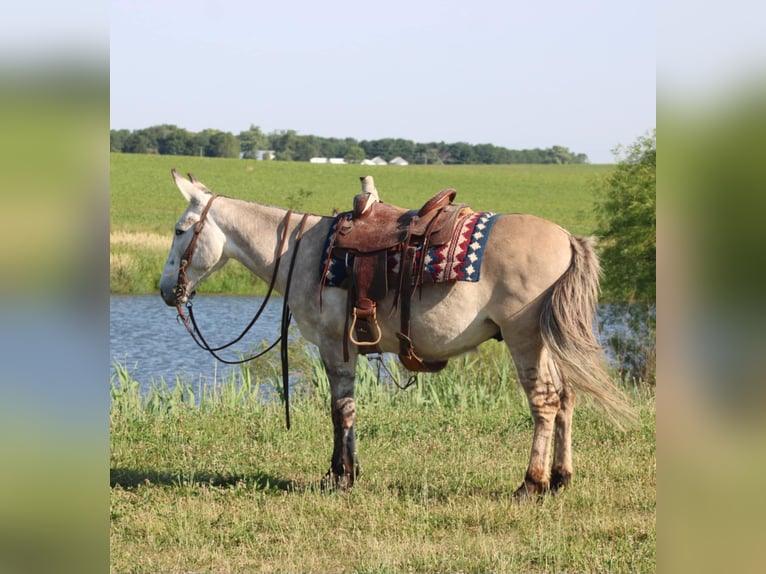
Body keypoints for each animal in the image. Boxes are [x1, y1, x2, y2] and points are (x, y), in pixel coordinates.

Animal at [159, 169, 633, 499]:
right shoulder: (348, 348)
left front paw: (340, 477)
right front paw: (348, 472)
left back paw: (530, 484)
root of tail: (567, 238)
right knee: (566, 399)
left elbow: (340, 410)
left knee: (544, 403)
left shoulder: (333, 346)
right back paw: (560, 479)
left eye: (181, 231)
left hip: (525, 339)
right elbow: (348, 410)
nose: (166, 291)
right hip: (546, 342)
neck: (302, 251)